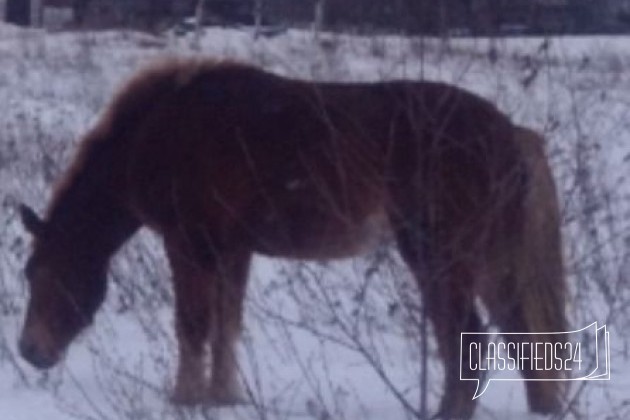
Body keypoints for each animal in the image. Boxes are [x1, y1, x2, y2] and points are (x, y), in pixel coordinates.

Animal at [17, 60, 568, 420]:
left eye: (44, 271)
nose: (29, 352)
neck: (158, 131)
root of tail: (511, 133)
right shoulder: (231, 250)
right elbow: (226, 325)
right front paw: (224, 397)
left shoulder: (189, 242)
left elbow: (192, 325)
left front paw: (185, 400)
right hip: (493, 261)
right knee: (520, 337)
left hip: (441, 257)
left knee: (468, 337)